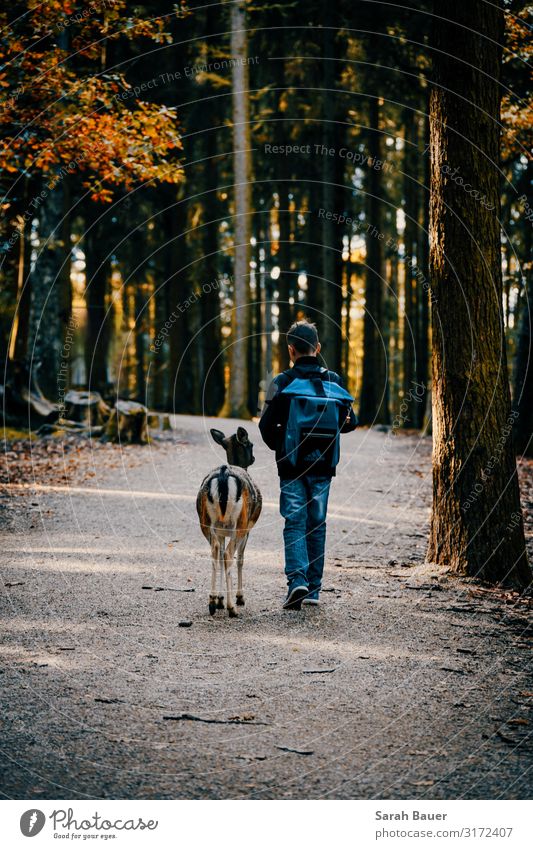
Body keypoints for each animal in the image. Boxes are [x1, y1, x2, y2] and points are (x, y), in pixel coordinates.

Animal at [195, 424, 262, 616]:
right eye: (251, 444)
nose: (253, 457)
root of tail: (224, 475)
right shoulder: (247, 529)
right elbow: (241, 559)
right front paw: (239, 598)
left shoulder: (221, 531)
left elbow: (220, 554)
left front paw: (220, 599)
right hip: (240, 523)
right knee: (228, 555)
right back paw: (232, 608)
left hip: (206, 523)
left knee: (215, 552)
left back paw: (212, 601)